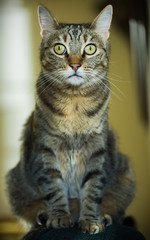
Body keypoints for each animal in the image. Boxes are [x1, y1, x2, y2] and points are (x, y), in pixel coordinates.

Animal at [5, 4, 135, 234]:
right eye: (60, 48)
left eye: (90, 49)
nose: (75, 65)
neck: (74, 104)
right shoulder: (45, 149)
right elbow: (55, 187)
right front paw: (59, 217)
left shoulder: (97, 150)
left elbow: (93, 189)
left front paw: (91, 220)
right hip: (14, 182)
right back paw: (42, 216)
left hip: (125, 175)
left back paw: (105, 216)